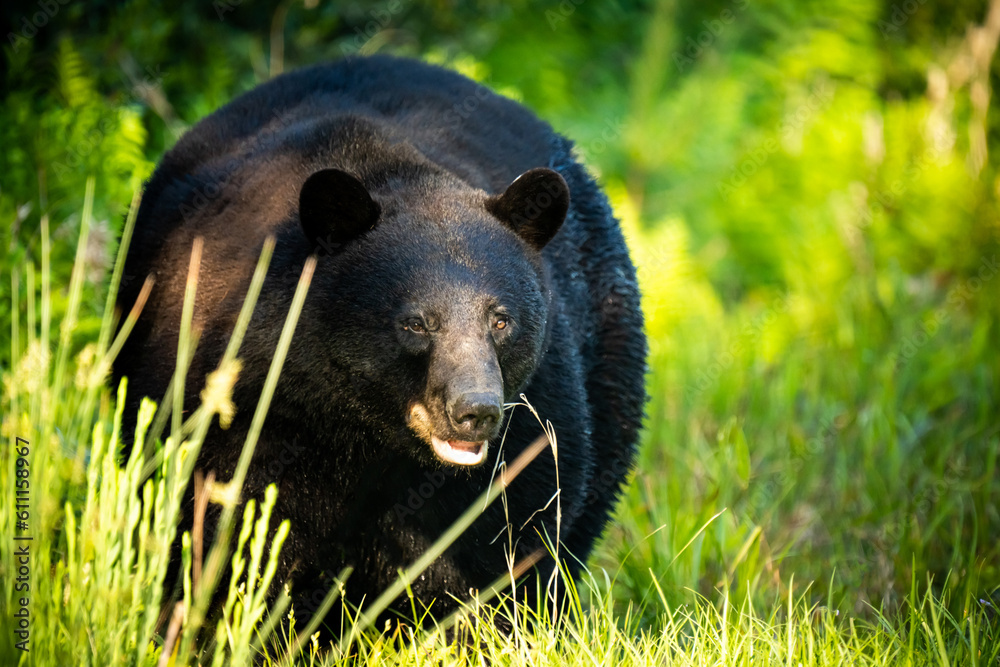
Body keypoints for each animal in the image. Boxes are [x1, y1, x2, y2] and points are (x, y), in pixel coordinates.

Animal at [113, 54, 647, 632]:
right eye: (415, 323)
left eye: (501, 321)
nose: (475, 411)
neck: (365, 430)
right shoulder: (246, 396)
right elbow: (234, 528)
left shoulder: (531, 413)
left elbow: (507, 532)